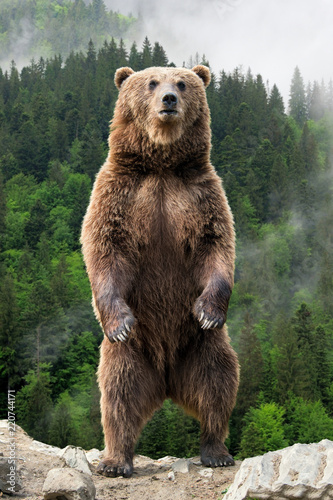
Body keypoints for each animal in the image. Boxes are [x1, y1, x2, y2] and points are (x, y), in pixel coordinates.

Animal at [81, 64, 240, 478]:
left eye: (182, 83)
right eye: (152, 82)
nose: (168, 99)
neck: (162, 165)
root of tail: (167, 380)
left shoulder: (201, 195)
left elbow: (216, 246)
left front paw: (209, 311)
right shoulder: (119, 193)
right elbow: (104, 248)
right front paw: (119, 321)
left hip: (201, 347)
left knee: (219, 383)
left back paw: (216, 450)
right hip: (132, 355)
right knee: (117, 396)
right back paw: (115, 461)